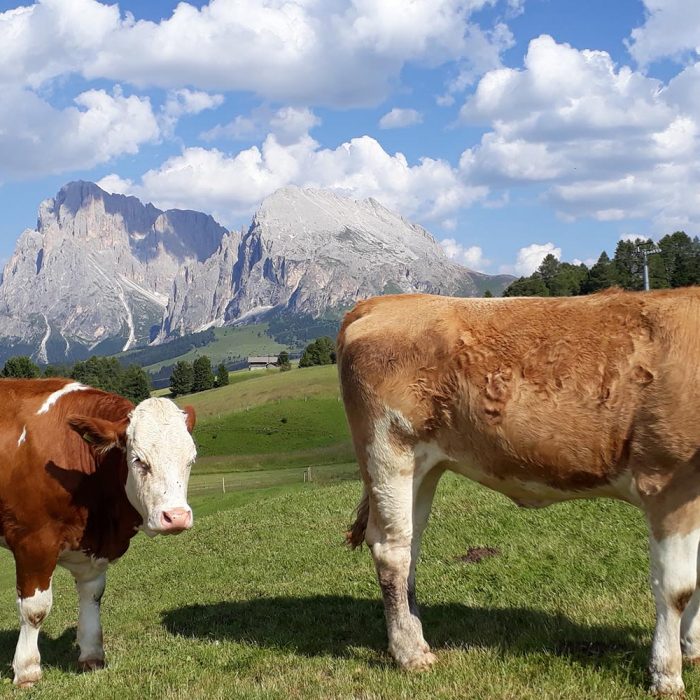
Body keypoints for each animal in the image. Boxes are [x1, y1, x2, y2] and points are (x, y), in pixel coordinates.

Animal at [0, 380, 197, 688]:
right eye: (138, 460)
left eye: (191, 460)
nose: (176, 516)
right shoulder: (32, 542)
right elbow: (35, 609)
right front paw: (27, 670)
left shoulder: (94, 548)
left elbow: (92, 595)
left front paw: (91, 655)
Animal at [340, 288, 700, 696]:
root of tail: (384, 302)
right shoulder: (668, 481)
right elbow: (677, 587)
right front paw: (667, 675)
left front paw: (691, 648)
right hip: (389, 450)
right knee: (392, 549)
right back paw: (410, 653)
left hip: (425, 467)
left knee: (411, 545)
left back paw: (416, 637)